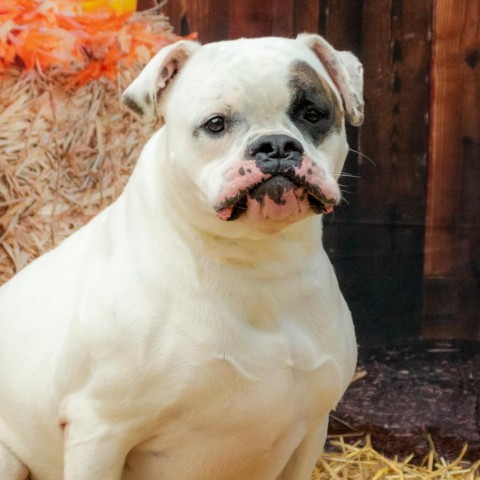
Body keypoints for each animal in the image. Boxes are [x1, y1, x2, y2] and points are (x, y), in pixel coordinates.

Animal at [0, 34, 360, 480]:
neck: (256, 264)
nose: (276, 145)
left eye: (313, 113)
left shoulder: (311, 429)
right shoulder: (99, 429)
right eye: (216, 123)